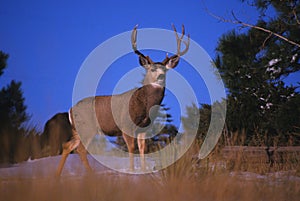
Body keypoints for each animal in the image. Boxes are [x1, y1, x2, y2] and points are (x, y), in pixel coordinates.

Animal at [55, 25, 189, 176]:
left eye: (165, 70)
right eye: (152, 69)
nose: (160, 77)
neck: (143, 105)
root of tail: (70, 110)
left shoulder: (144, 128)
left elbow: (142, 148)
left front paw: (143, 170)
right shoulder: (125, 125)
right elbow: (131, 147)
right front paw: (131, 170)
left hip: (78, 130)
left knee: (68, 146)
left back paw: (57, 175)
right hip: (87, 127)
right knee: (80, 149)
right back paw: (90, 174)